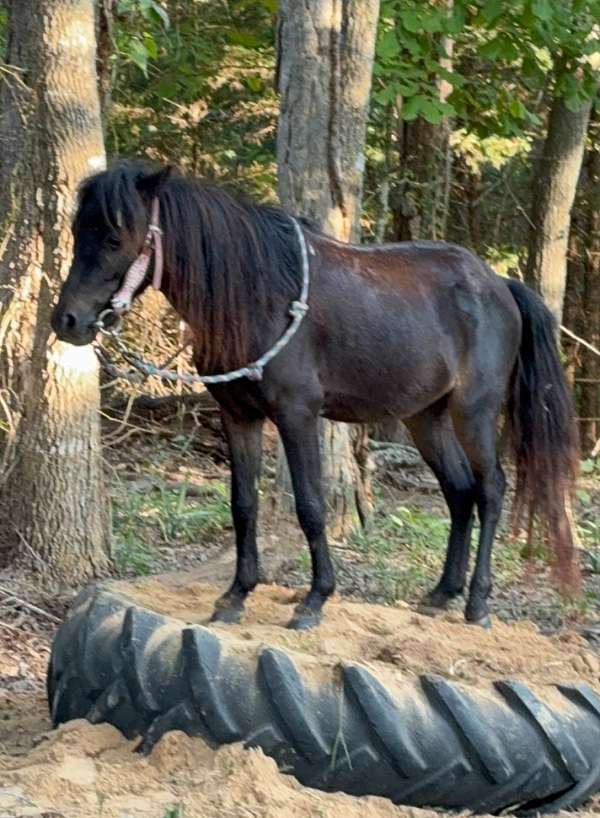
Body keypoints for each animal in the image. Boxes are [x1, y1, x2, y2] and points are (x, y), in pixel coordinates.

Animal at [51, 160, 579, 630]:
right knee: (459, 491)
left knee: (490, 490)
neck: (259, 296)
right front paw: (236, 595)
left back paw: (477, 603)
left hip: (474, 411)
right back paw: (440, 594)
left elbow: (310, 505)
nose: (67, 321)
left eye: (115, 238)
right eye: (79, 230)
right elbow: (243, 504)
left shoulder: (297, 415)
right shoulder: (238, 416)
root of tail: (500, 285)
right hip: (425, 418)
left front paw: (315, 599)